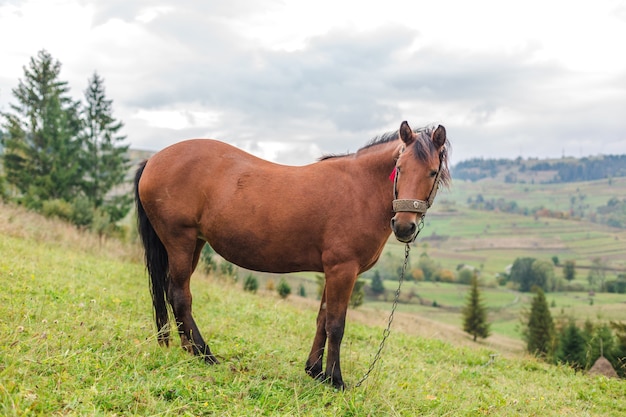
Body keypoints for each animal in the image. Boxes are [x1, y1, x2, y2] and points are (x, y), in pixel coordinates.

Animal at [135, 119, 448, 386]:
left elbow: (322, 319)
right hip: (180, 241)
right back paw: (204, 353)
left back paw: (189, 349)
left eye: (432, 172)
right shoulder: (343, 270)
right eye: (400, 167)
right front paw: (335, 380)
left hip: (193, 245)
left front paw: (315, 372)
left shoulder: (333, 271)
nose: (404, 226)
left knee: (173, 293)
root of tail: (154, 159)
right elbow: (336, 324)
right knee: (180, 296)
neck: (360, 190)